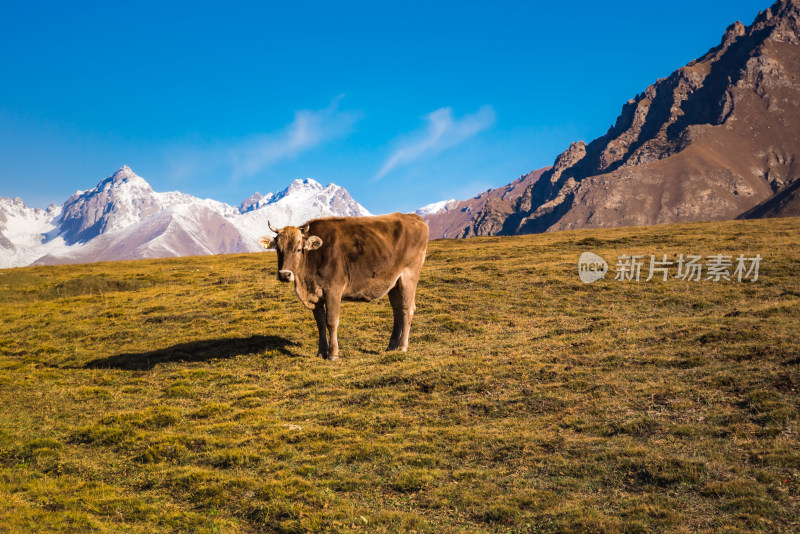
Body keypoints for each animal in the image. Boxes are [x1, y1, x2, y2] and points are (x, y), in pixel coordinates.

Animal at [260, 213, 428, 360]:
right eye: (278, 249)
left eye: (299, 249)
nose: (284, 274)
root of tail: (413, 217)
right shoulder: (316, 296)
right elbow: (320, 324)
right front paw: (321, 353)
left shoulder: (333, 290)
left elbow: (331, 321)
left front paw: (333, 354)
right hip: (393, 283)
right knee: (398, 311)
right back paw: (391, 346)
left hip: (409, 276)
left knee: (407, 309)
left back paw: (402, 346)